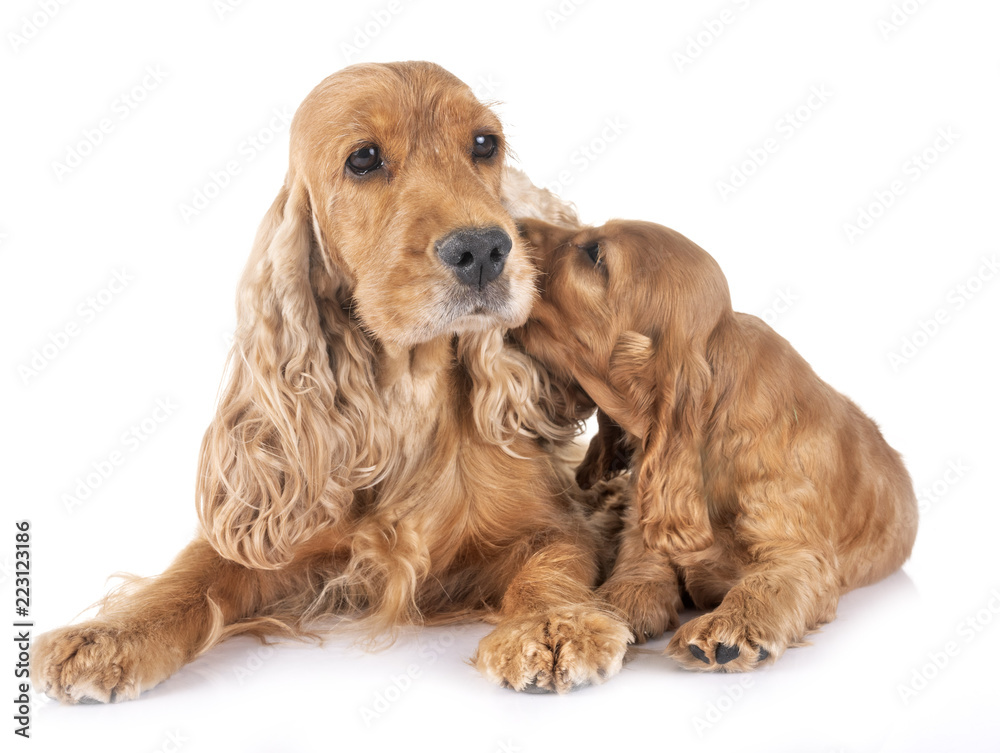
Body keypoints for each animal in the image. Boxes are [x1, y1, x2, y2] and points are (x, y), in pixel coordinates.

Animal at [39, 61, 632, 704]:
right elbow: (189, 575)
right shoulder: (269, 533)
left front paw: (551, 626)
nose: (484, 249)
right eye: (364, 158)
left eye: (484, 144)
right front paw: (110, 635)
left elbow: (552, 566)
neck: (408, 396)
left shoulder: (552, 523)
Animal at [512, 216, 916, 668]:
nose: (512, 224)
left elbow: (769, 584)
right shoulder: (643, 525)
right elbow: (640, 565)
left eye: (595, 253)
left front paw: (729, 626)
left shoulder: (799, 554)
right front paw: (612, 607)